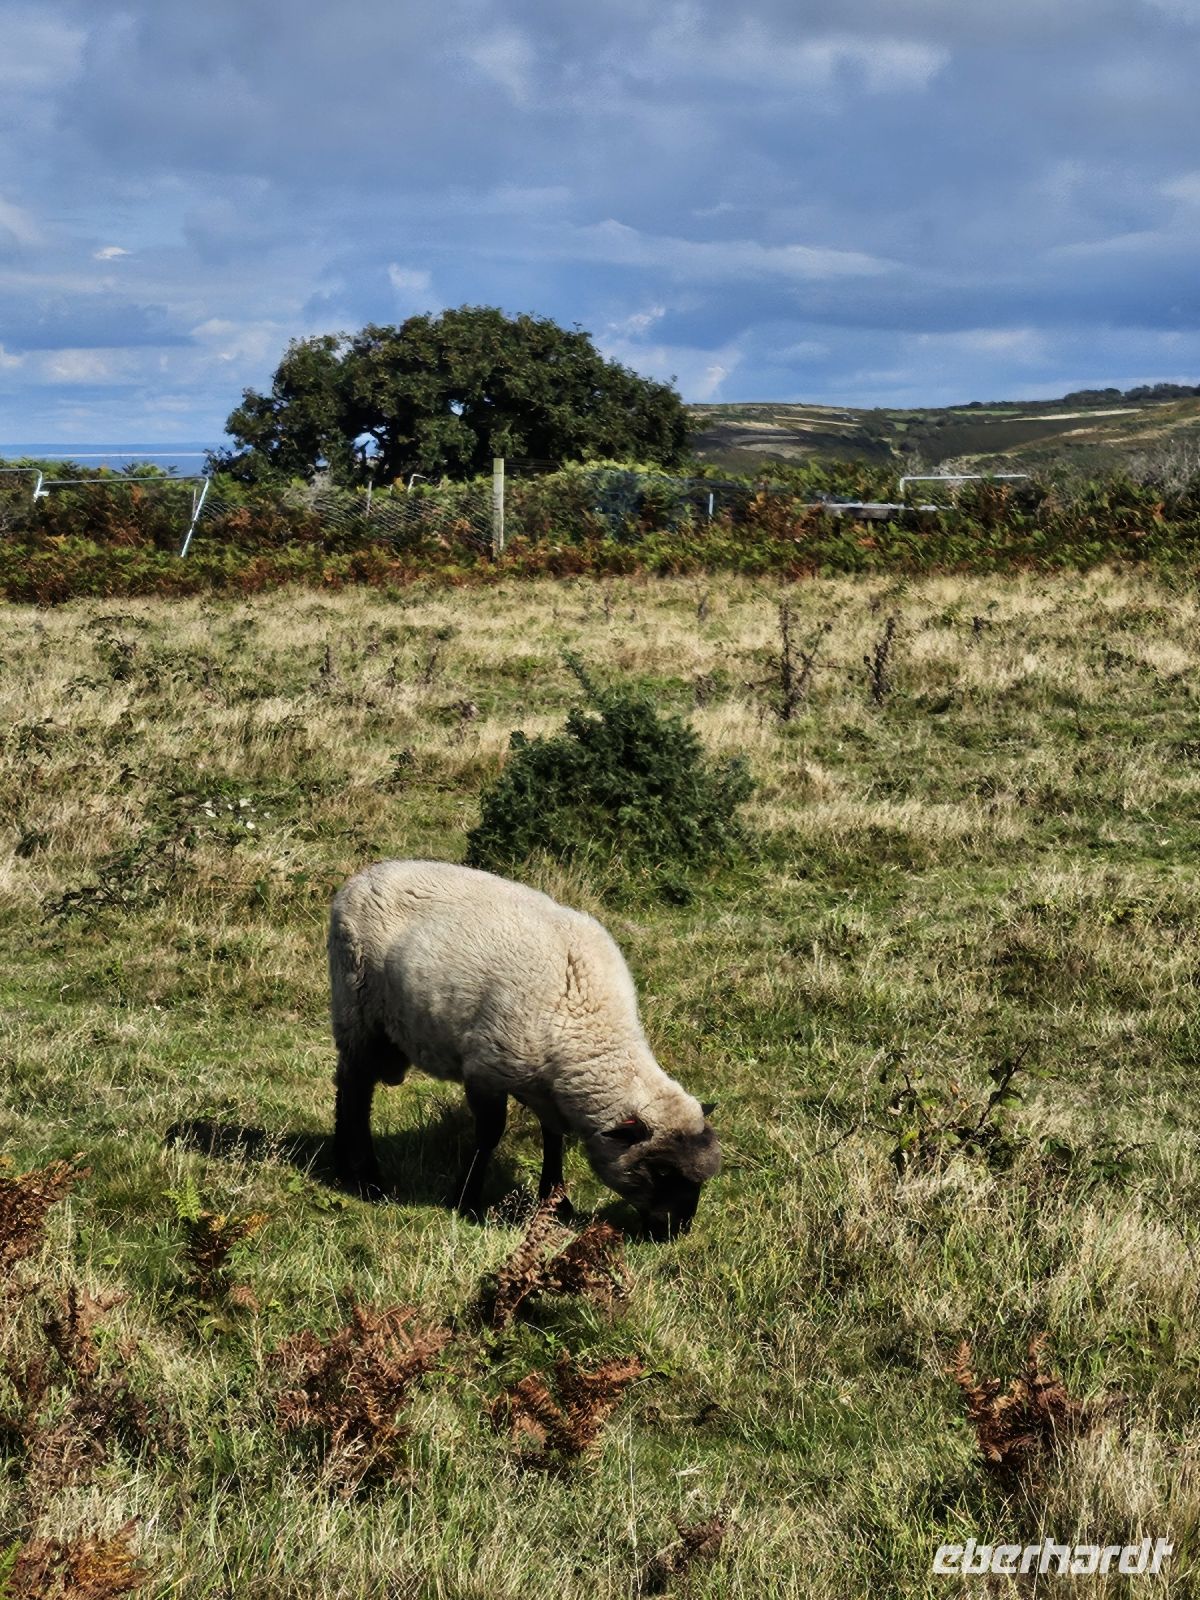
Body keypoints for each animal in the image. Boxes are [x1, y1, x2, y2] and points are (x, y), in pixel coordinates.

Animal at [328, 859, 720, 1237]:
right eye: (663, 1171)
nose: (676, 1231)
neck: (586, 1018)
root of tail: (362, 877)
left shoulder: (548, 1090)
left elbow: (554, 1135)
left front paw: (556, 1202)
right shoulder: (485, 1072)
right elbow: (489, 1134)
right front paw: (467, 1200)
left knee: (345, 1082)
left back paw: (342, 1162)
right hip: (358, 1009)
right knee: (356, 1089)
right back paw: (368, 1180)